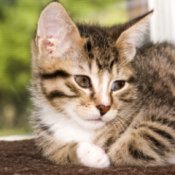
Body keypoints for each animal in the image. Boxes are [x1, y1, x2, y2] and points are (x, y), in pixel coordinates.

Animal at [30, 1, 174, 168]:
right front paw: (90, 153)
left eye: (118, 85)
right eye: (83, 81)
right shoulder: (47, 140)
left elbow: (138, 142)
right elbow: (57, 152)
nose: (104, 108)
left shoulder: (166, 111)